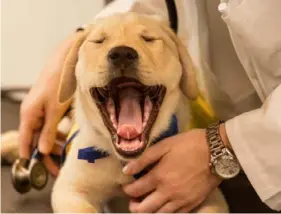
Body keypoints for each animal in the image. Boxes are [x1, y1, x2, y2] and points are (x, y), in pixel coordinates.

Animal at [52, 12, 228, 212]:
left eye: (149, 39)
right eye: (99, 41)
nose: (122, 54)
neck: (127, 163)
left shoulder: (210, 195)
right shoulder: (69, 188)